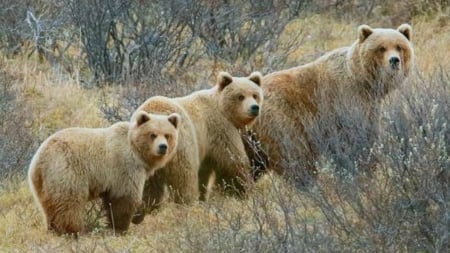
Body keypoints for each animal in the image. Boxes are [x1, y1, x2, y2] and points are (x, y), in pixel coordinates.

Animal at [27, 111, 179, 234]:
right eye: (153, 134)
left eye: (167, 135)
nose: (162, 147)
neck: (137, 152)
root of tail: (39, 159)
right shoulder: (125, 166)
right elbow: (124, 198)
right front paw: (121, 228)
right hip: (66, 170)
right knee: (69, 203)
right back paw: (72, 231)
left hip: (42, 183)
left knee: (48, 206)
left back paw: (53, 229)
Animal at [131, 71, 264, 223]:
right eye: (240, 96)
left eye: (255, 95)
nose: (254, 108)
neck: (222, 108)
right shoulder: (220, 128)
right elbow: (232, 163)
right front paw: (242, 192)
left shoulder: (205, 148)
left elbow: (204, 174)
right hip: (182, 145)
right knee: (184, 179)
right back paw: (187, 206)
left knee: (148, 188)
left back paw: (142, 213)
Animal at [251, 23, 414, 181]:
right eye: (381, 48)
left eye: (399, 46)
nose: (394, 60)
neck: (363, 81)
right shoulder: (346, 99)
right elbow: (354, 137)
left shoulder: (369, 103)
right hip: (281, 119)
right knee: (295, 154)